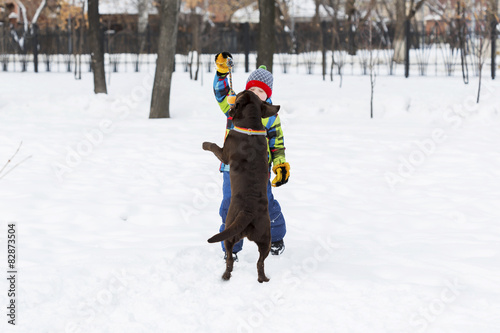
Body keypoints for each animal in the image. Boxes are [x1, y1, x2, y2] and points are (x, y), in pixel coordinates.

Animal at [204, 89, 282, 282]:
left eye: (239, 94)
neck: (250, 126)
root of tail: (249, 212)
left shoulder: (224, 153)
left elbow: (214, 146)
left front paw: (204, 144)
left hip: (229, 231)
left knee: (230, 257)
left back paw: (225, 275)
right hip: (265, 238)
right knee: (260, 262)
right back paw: (263, 279)